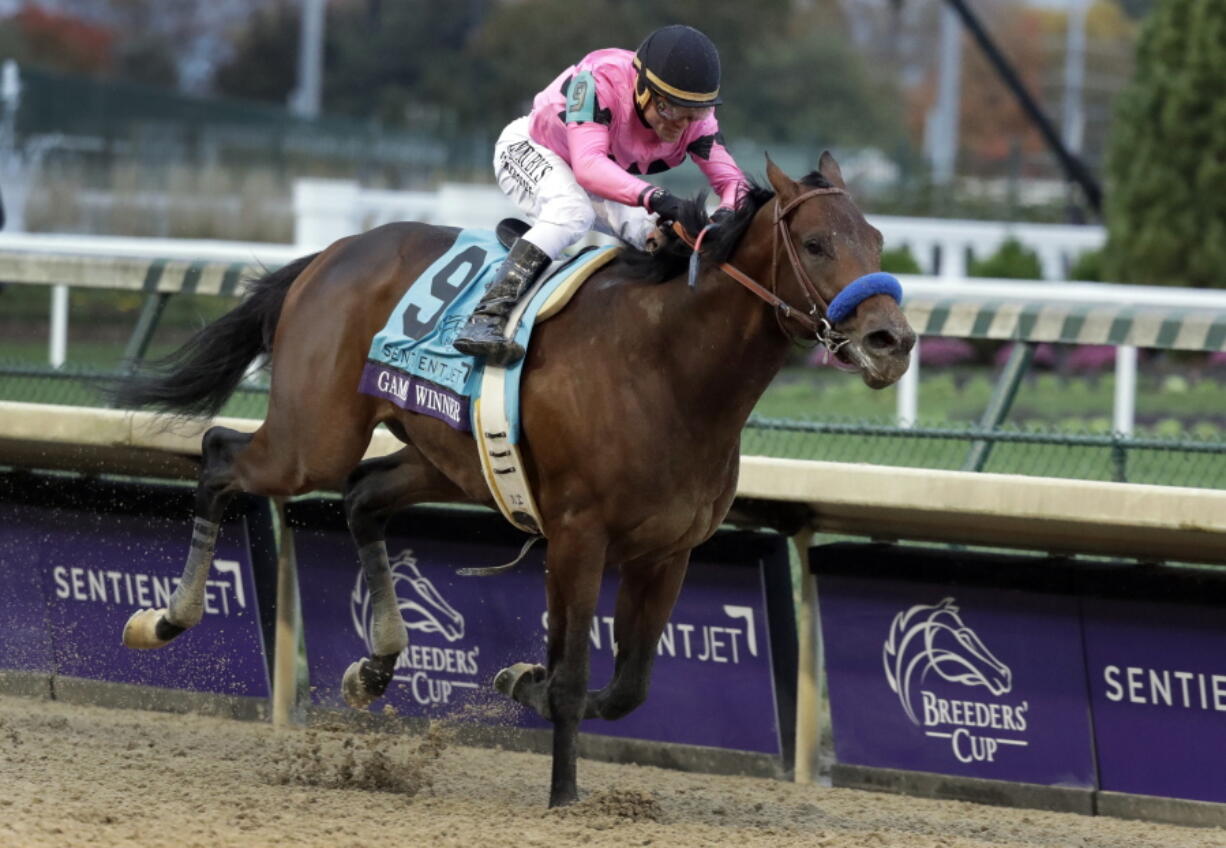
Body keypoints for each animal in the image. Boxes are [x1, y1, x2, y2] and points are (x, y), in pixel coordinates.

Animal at [115, 153, 917, 808]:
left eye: (877, 240)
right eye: (815, 244)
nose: (894, 341)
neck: (669, 366)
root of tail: (332, 254)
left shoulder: (667, 551)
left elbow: (626, 688)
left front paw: (518, 682)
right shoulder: (578, 536)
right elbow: (571, 676)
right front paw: (564, 794)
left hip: (446, 460)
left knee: (364, 496)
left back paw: (373, 668)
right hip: (311, 438)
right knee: (222, 457)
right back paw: (165, 618)